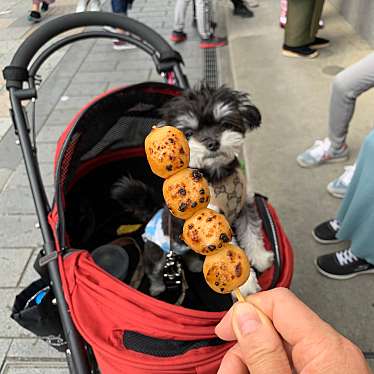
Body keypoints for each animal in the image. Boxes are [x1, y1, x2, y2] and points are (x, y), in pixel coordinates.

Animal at [112, 84, 274, 298]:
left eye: (224, 123)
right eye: (188, 133)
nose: (212, 143)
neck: (217, 176)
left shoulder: (245, 205)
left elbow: (251, 232)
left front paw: (260, 257)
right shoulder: (211, 224)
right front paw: (246, 285)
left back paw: (195, 266)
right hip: (156, 253)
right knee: (153, 270)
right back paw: (156, 288)